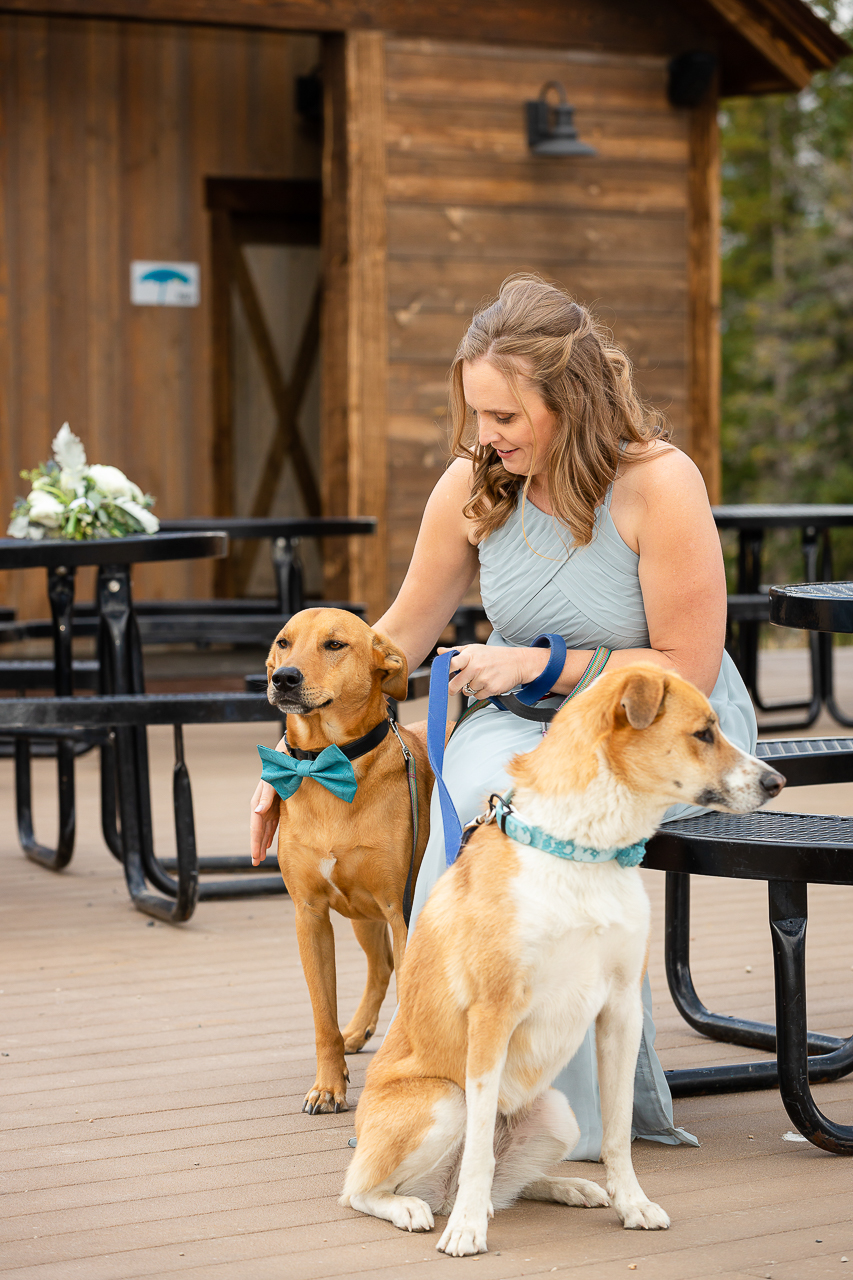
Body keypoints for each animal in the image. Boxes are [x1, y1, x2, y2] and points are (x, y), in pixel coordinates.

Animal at [262, 604, 432, 1116]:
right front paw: (328, 1085)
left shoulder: (402, 911)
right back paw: (356, 1031)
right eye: (283, 642)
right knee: (381, 968)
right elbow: (323, 1016)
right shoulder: (311, 916)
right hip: (361, 915)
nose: (283, 677)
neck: (326, 762)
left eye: (334, 644)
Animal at [343, 665, 778, 1254]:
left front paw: (631, 1204)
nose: (777, 782)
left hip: (558, 1114)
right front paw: (467, 1231)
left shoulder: (621, 1009)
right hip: (443, 1101)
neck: (583, 852)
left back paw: (566, 1187)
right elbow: (478, 1151)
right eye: (703, 733)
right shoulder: (492, 1015)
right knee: (365, 1189)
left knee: (508, 1182)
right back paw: (422, 1208)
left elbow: (617, 1133)